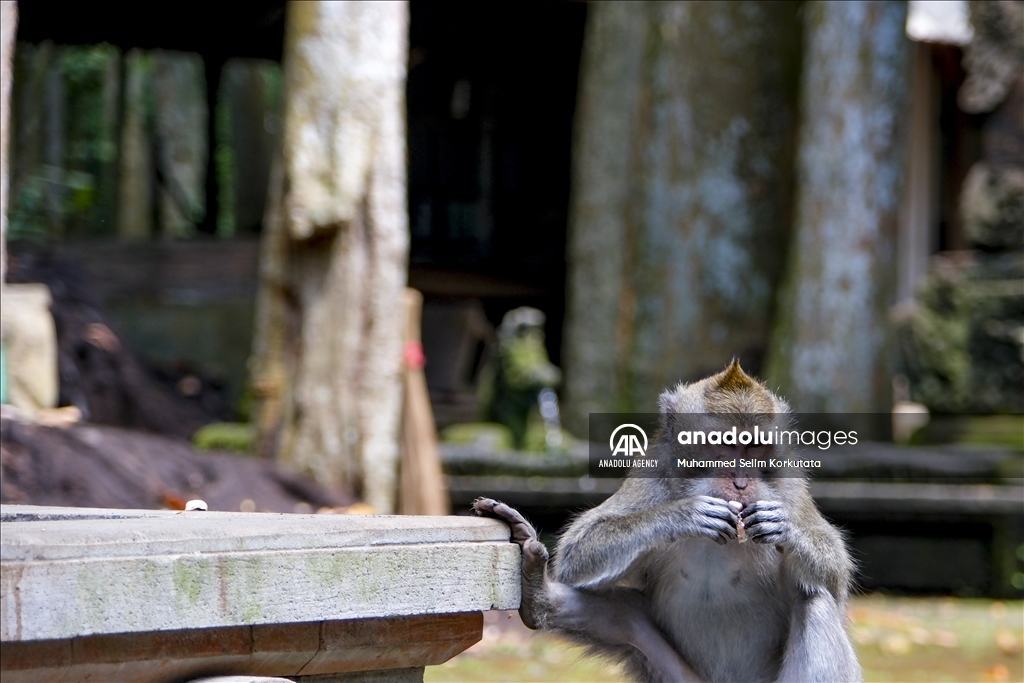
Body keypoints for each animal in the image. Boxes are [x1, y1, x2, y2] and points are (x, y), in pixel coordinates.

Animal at [475, 360, 860, 679]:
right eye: (721, 444)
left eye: (753, 447)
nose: (741, 482)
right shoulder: (653, 471)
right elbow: (579, 548)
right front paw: (684, 513)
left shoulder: (788, 481)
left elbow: (836, 578)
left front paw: (785, 529)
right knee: (626, 618)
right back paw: (537, 594)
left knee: (815, 600)